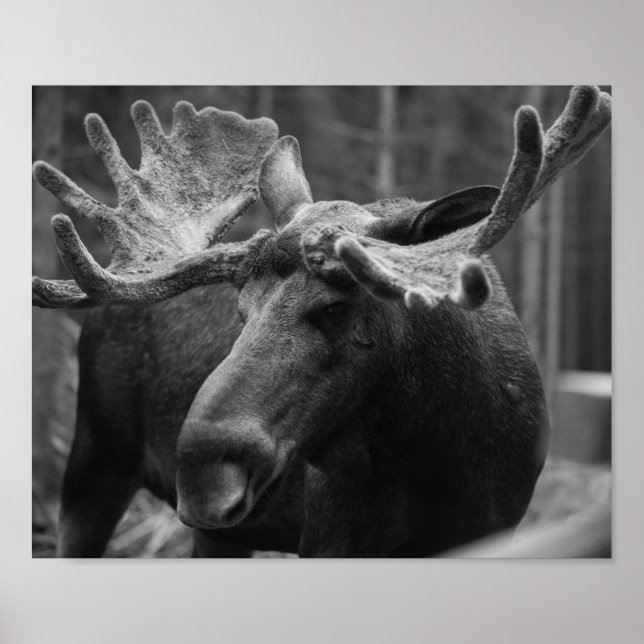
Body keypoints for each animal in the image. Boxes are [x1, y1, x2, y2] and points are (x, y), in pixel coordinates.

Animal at [32, 86, 611, 557]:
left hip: (217, 533)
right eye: (240, 312)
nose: (200, 476)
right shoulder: (333, 539)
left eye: (335, 307)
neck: (440, 453)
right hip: (93, 465)